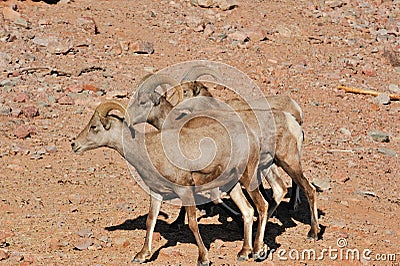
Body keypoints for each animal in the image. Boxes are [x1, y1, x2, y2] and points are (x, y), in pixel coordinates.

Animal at [72, 100, 270, 264]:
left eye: (94, 126)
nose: (74, 144)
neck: (150, 150)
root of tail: (251, 137)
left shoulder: (185, 192)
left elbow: (192, 223)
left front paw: (203, 258)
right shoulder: (157, 193)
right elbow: (150, 220)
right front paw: (141, 255)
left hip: (248, 179)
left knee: (262, 206)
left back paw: (257, 251)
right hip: (233, 186)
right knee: (247, 211)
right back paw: (243, 253)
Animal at [128, 71, 318, 240]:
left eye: (142, 102)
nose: (128, 118)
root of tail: (292, 120)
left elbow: (215, 199)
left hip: (287, 162)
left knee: (307, 189)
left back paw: (312, 233)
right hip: (270, 166)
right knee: (280, 190)